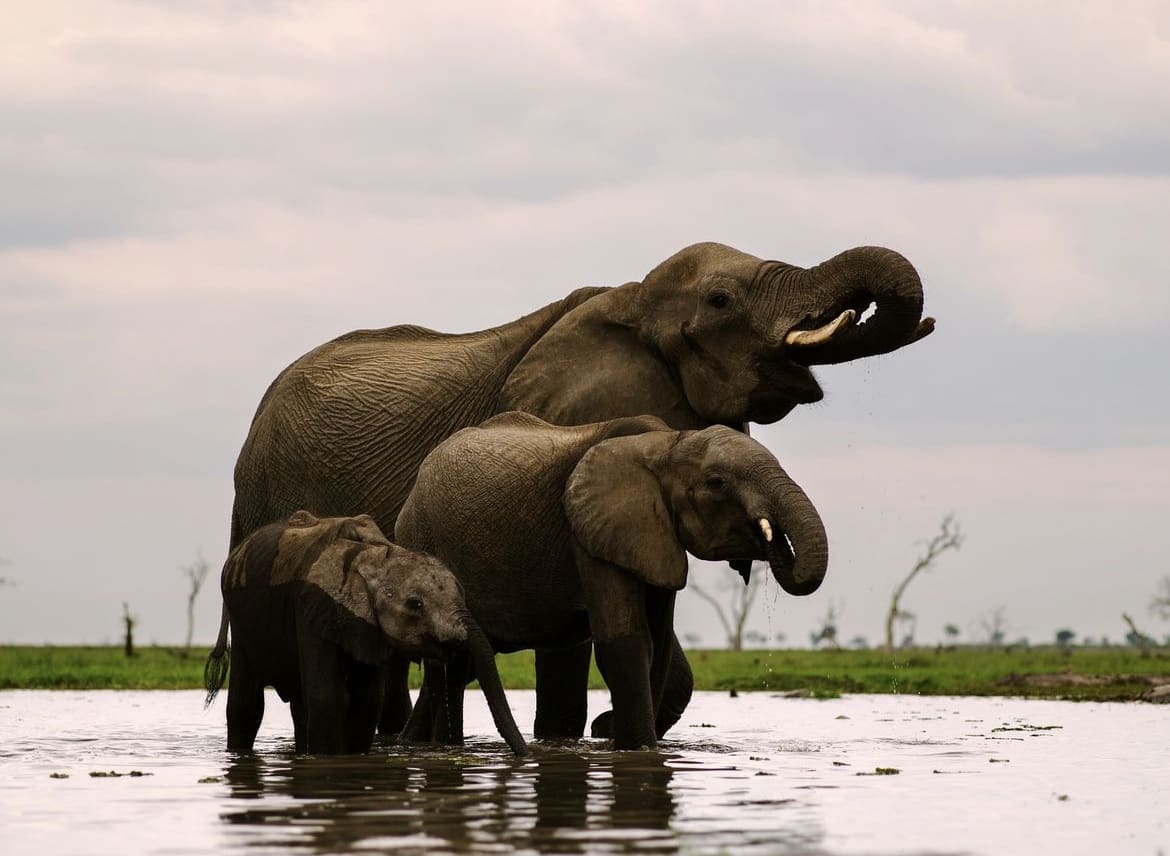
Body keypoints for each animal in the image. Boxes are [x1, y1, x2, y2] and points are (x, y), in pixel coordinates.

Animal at [203, 510, 527, 756]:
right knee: (247, 703)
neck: (374, 554)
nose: (524, 755)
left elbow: (367, 700)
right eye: (415, 604)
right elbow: (327, 696)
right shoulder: (310, 605)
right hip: (240, 613)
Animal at [393, 412, 829, 750]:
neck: (665, 445)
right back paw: (442, 748)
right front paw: (637, 750)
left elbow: (657, 646)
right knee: (447, 666)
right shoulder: (590, 532)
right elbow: (625, 642)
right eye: (717, 482)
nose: (765, 540)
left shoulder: (655, 536)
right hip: (422, 537)